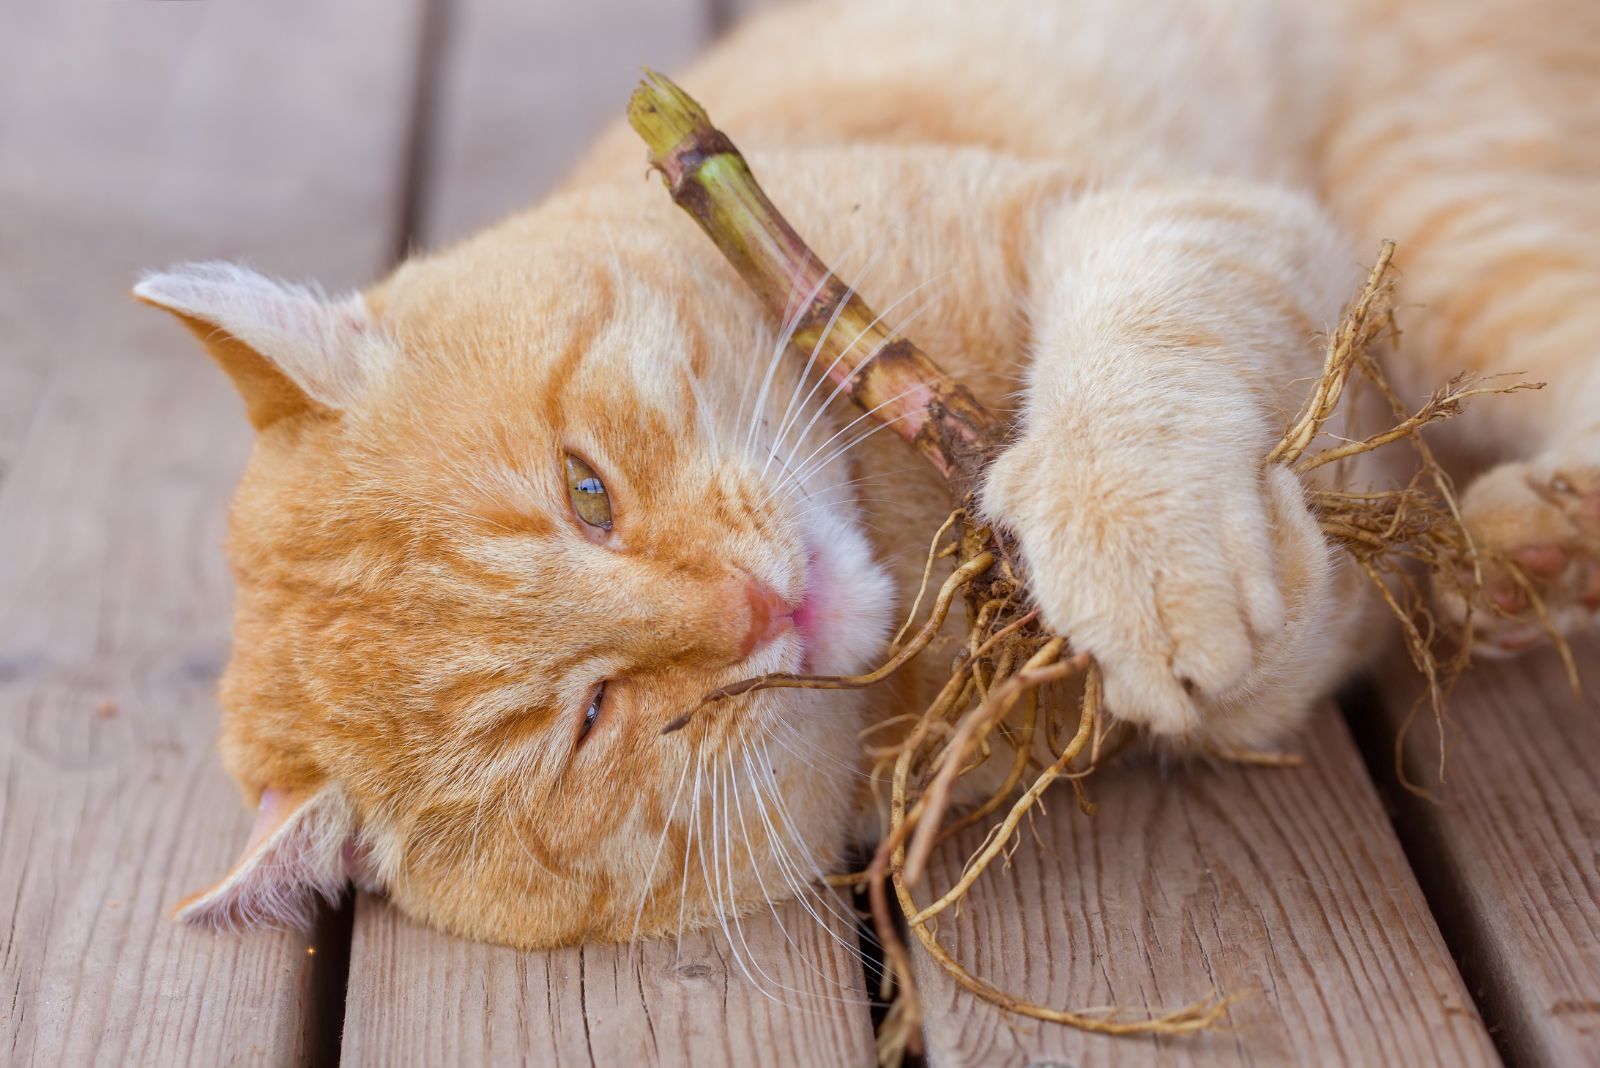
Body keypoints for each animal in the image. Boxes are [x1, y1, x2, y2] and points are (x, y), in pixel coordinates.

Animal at [134, 0, 1600, 952]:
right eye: (588, 720)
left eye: (586, 491)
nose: (756, 607)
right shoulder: (1298, 638)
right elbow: (1267, 654)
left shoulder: (1162, 215)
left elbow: (1142, 341)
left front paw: (1140, 545)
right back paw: (1523, 566)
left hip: (1450, 215)